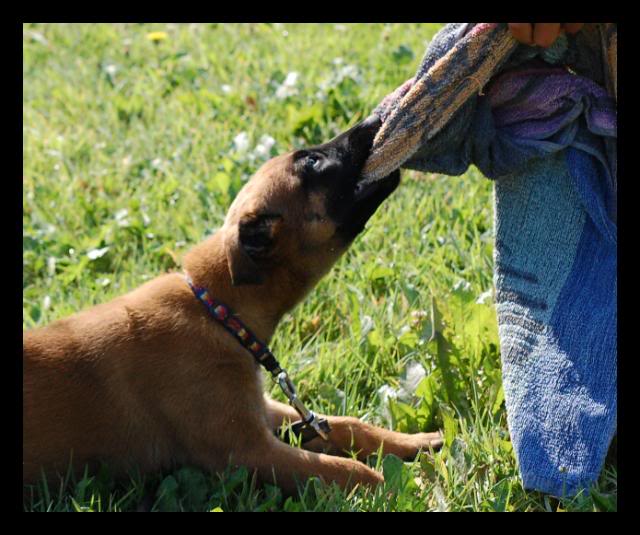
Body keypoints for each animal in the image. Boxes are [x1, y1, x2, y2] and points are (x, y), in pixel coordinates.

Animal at [26, 116, 444, 494]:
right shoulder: (248, 450)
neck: (217, 311)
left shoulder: (264, 409)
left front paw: (418, 442)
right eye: (310, 162)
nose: (376, 120)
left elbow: (347, 424)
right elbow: (352, 470)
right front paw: (411, 487)